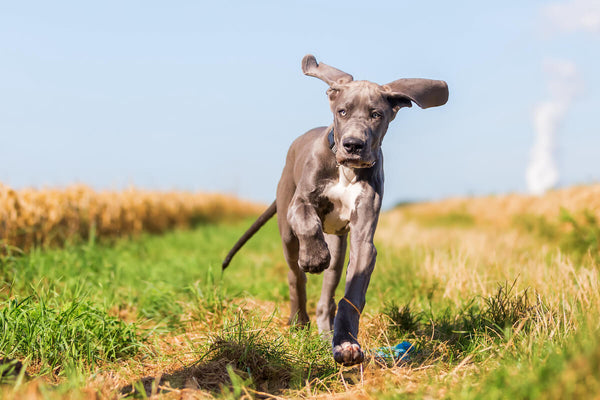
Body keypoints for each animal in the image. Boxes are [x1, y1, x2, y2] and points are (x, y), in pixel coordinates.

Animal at [223, 54, 448, 366]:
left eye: (376, 114)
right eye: (342, 111)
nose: (353, 145)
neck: (346, 170)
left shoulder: (364, 238)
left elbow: (351, 296)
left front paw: (345, 344)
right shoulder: (300, 204)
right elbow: (307, 222)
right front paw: (314, 257)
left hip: (338, 247)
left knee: (326, 293)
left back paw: (323, 330)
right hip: (287, 230)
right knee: (296, 277)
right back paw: (299, 320)